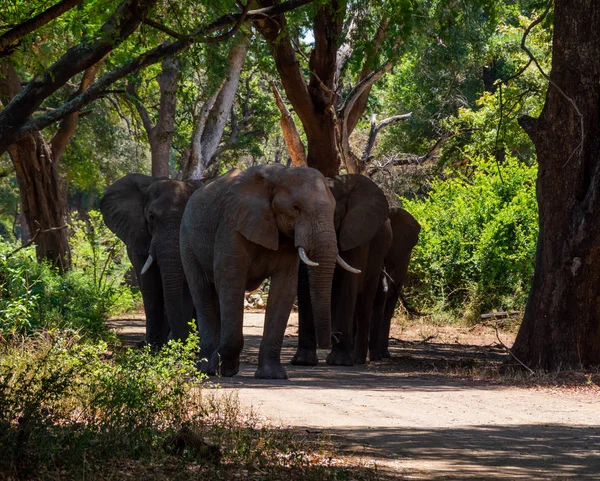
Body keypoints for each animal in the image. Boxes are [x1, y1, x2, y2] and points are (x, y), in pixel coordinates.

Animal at [99, 174, 202, 346]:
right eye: (151, 217)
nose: (173, 339)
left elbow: (186, 288)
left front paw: (178, 346)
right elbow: (150, 285)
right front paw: (154, 347)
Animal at [179, 164, 356, 378]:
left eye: (333, 211)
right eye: (296, 208)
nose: (334, 337)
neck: (280, 175)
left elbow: (284, 289)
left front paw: (272, 375)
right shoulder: (232, 226)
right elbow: (231, 281)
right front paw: (221, 370)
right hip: (186, 240)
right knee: (202, 291)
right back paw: (205, 369)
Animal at [292, 174, 394, 366]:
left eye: (334, 214)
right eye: (296, 211)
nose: (335, 336)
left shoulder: (356, 232)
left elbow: (348, 283)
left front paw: (339, 361)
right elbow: (303, 283)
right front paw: (303, 361)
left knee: (364, 301)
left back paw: (358, 359)